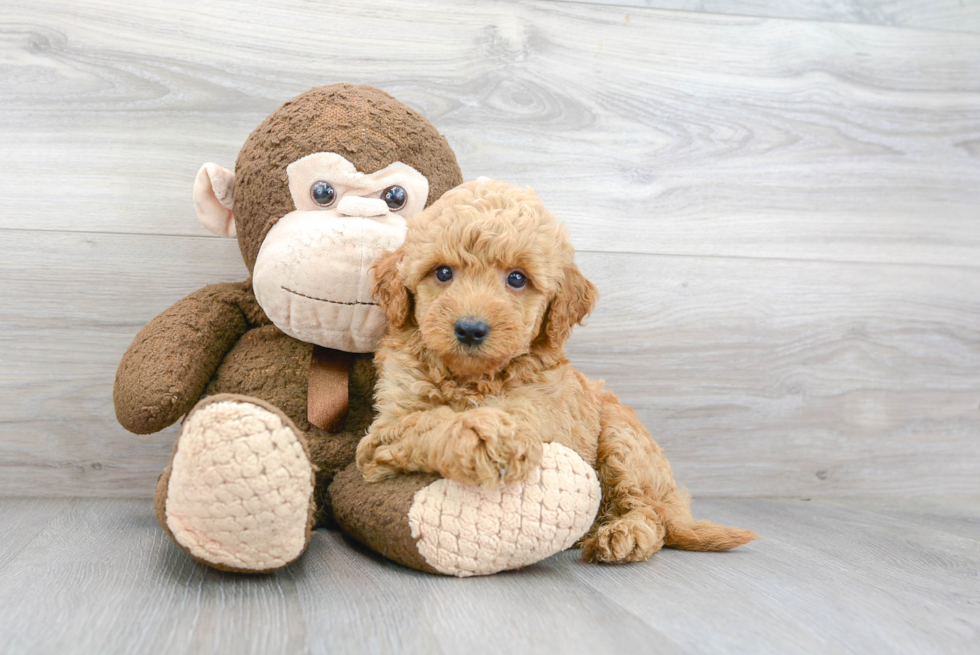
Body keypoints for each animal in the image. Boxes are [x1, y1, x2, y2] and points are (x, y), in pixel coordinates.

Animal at [356, 179, 756, 564]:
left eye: (517, 279)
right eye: (442, 272)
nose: (470, 329)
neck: (473, 379)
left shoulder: (541, 412)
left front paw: (491, 434)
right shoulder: (386, 426)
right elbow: (427, 420)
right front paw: (484, 434)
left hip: (622, 438)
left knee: (648, 512)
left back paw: (623, 535)